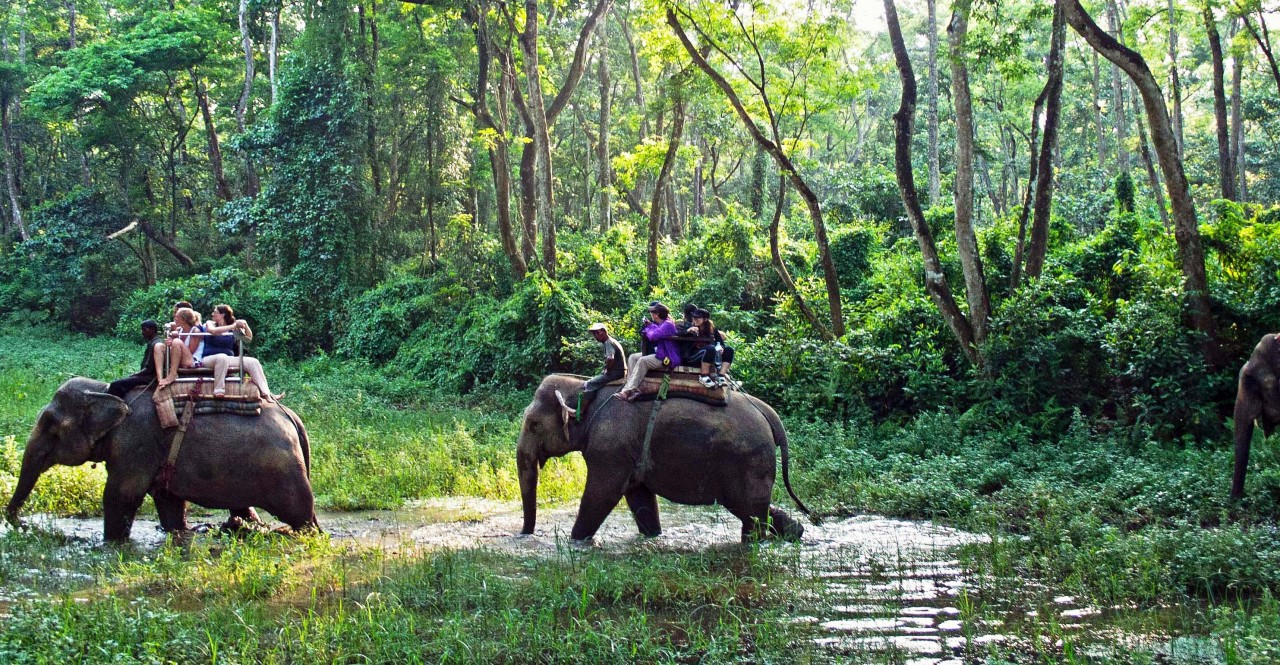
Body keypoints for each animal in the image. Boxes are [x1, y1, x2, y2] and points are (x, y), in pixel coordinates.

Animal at [7, 375, 317, 542]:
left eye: (50, 425)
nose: (24, 524)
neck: (105, 390)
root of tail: (292, 416)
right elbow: (168, 501)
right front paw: (179, 532)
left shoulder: (135, 443)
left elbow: (121, 495)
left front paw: (111, 544)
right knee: (244, 508)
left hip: (284, 472)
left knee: (301, 515)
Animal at [512, 370, 803, 542]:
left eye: (533, 425)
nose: (524, 535)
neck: (584, 387)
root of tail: (769, 414)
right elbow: (638, 494)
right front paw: (652, 536)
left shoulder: (610, 447)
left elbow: (602, 492)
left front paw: (576, 541)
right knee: (754, 509)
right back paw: (795, 531)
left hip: (748, 460)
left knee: (749, 512)